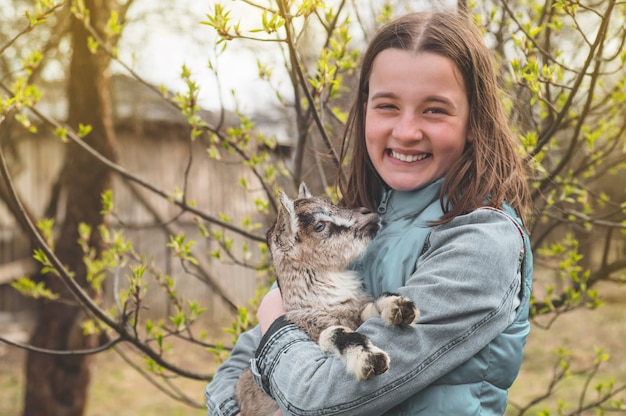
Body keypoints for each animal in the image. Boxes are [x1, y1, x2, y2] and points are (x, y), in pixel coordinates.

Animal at [232, 184, 416, 414]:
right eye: (319, 225)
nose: (369, 213)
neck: (326, 304)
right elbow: (333, 333)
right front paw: (370, 360)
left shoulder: (355, 313)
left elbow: (369, 308)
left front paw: (399, 307)